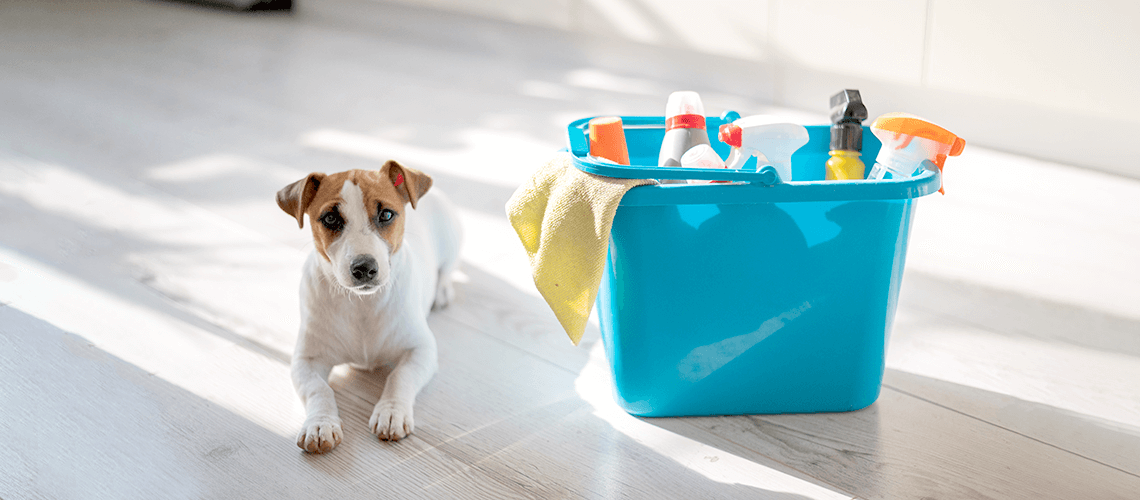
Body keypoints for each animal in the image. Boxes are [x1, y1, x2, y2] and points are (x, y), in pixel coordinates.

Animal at [275, 160, 458, 453]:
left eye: (386, 214)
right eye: (330, 218)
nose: (364, 268)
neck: (362, 304)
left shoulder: (422, 350)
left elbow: (400, 376)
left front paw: (391, 412)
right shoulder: (305, 361)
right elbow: (319, 389)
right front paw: (320, 424)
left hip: (452, 241)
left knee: (448, 268)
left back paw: (442, 291)